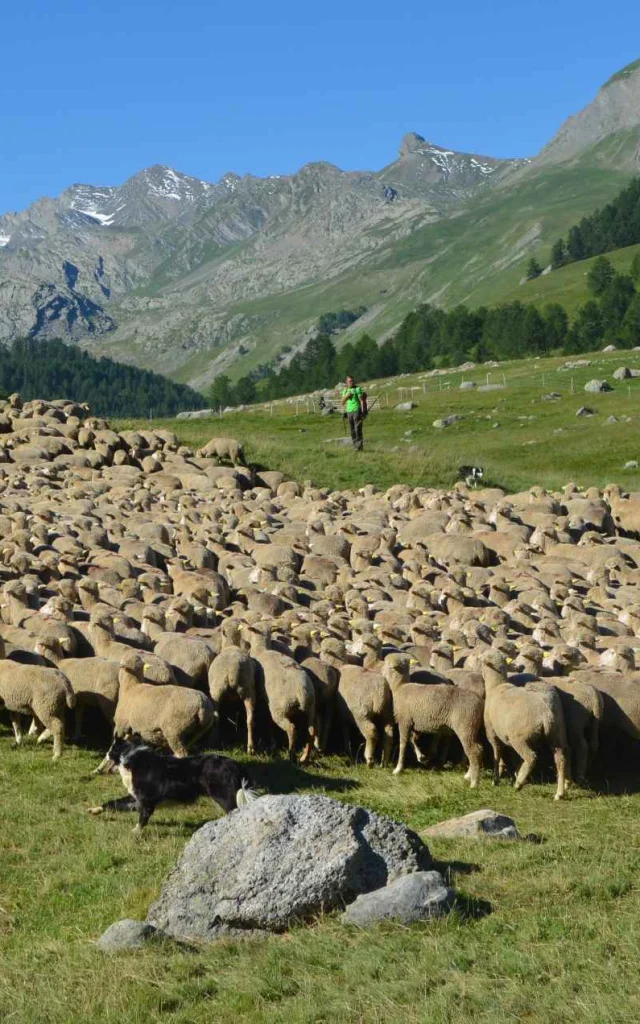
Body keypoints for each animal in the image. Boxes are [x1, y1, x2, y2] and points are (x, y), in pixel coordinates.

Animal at [88, 733, 257, 827]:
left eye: (111, 749)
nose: (106, 754)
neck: (129, 756)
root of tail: (235, 764)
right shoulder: (136, 799)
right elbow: (112, 803)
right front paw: (94, 810)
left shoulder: (146, 802)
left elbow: (142, 820)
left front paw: (135, 833)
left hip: (224, 796)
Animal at [380, 651, 481, 786]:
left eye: (387, 664)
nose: (380, 670)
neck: (400, 687)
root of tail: (479, 702)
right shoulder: (411, 722)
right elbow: (412, 740)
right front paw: (420, 757)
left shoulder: (404, 721)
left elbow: (403, 743)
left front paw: (398, 769)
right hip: (471, 727)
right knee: (473, 749)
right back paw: (468, 775)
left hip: (465, 725)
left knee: (474, 751)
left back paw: (474, 783)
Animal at [479, 647, 569, 798]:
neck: (496, 686)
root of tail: (545, 713)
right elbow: (514, 758)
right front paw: (515, 771)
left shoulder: (491, 732)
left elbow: (497, 753)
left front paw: (496, 780)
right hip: (556, 734)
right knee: (560, 759)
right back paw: (559, 793)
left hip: (520, 738)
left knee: (531, 757)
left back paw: (518, 784)